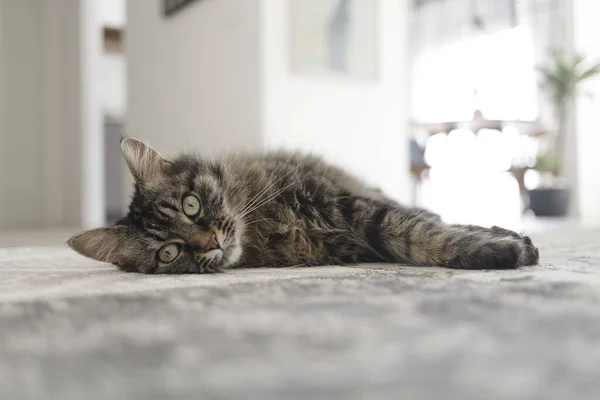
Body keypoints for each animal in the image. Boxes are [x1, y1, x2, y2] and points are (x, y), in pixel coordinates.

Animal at [67, 136, 540, 274]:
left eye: (190, 205)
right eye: (169, 253)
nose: (212, 241)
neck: (267, 223)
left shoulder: (351, 206)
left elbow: (422, 231)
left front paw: (498, 247)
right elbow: (420, 234)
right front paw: (498, 250)